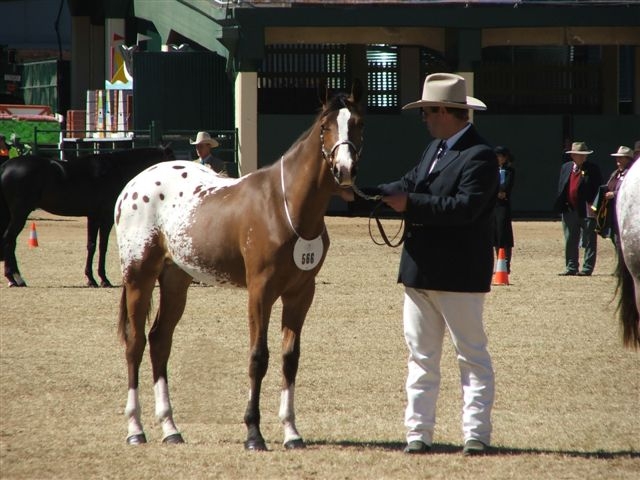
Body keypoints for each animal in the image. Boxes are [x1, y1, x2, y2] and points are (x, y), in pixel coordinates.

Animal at [0, 147, 174, 287]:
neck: (116, 170)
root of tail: (5, 166)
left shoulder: (93, 217)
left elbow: (92, 245)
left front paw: (92, 279)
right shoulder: (105, 218)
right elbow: (102, 246)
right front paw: (102, 279)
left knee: (10, 241)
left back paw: (16, 279)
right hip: (20, 213)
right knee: (9, 240)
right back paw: (14, 278)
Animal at [114, 83, 363, 450]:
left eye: (358, 123)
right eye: (325, 126)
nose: (344, 170)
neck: (284, 206)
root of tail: (133, 186)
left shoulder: (301, 293)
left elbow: (290, 358)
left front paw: (291, 432)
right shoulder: (260, 291)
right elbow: (258, 356)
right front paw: (253, 433)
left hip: (175, 279)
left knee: (160, 340)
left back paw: (171, 429)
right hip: (139, 276)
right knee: (135, 343)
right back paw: (135, 429)